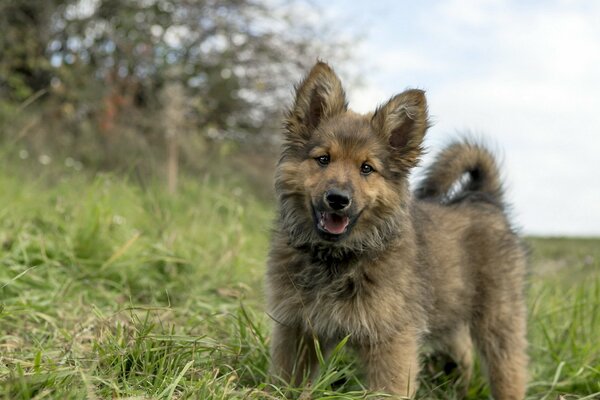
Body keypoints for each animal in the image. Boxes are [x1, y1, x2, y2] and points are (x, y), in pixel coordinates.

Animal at [264, 61, 528, 398]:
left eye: (367, 168)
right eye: (323, 159)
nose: (338, 199)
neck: (336, 258)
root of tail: (482, 198)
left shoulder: (391, 340)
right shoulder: (297, 329)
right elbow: (287, 382)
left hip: (499, 319)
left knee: (509, 369)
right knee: (463, 350)